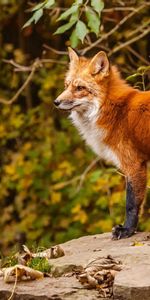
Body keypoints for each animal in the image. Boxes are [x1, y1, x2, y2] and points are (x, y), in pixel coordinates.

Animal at [54, 48, 150, 240]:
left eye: (80, 88)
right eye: (66, 85)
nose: (56, 102)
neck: (114, 109)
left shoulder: (134, 164)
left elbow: (131, 204)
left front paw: (127, 230)